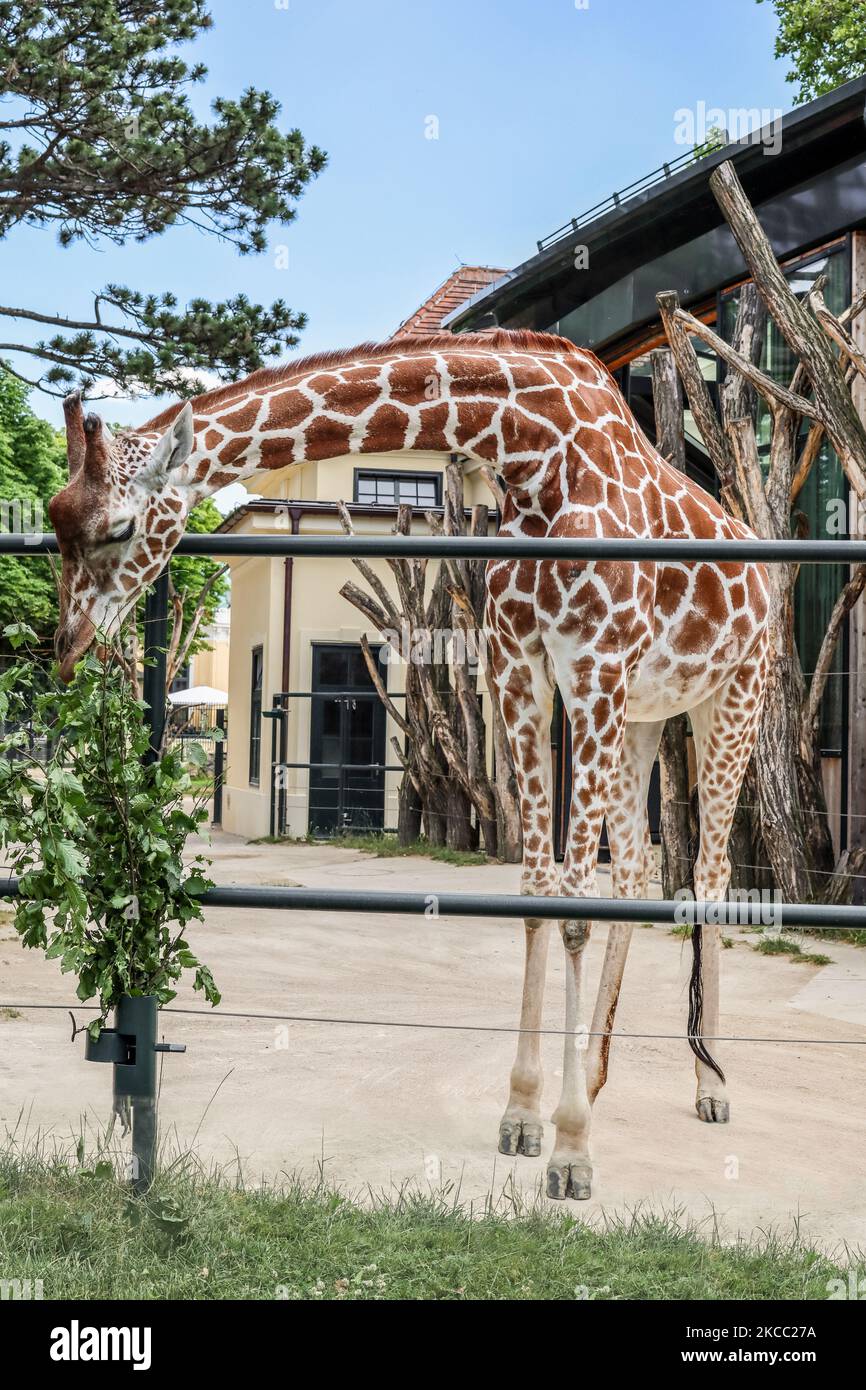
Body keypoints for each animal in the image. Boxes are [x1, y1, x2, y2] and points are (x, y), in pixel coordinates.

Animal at [49, 330, 769, 1200]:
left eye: (118, 526)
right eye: (53, 519)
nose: (66, 647)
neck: (536, 454)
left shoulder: (591, 666)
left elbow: (572, 908)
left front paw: (571, 1151)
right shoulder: (522, 667)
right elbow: (537, 893)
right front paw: (525, 1113)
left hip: (734, 694)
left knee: (710, 871)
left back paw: (711, 1086)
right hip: (646, 713)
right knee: (633, 868)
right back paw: (597, 1074)